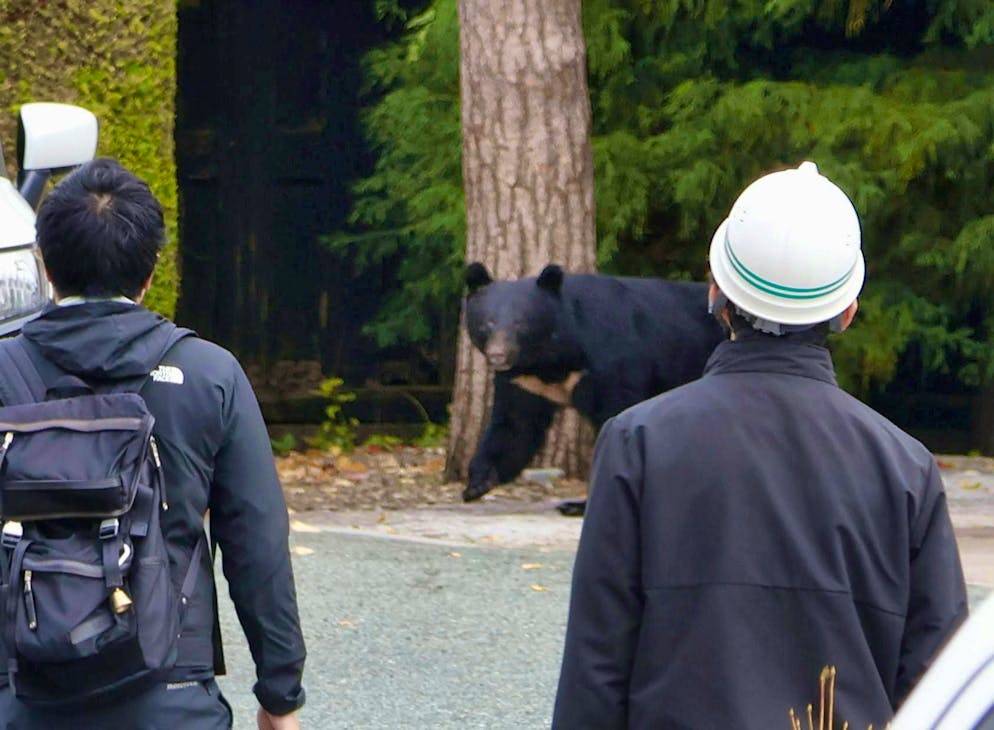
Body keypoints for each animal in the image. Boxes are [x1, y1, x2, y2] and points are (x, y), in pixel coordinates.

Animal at [462, 262, 726, 510]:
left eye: (521, 324)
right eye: (487, 323)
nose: (498, 355)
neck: (551, 359)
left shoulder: (609, 361)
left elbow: (616, 413)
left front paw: (583, 503)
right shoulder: (524, 382)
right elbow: (516, 426)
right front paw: (477, 483)